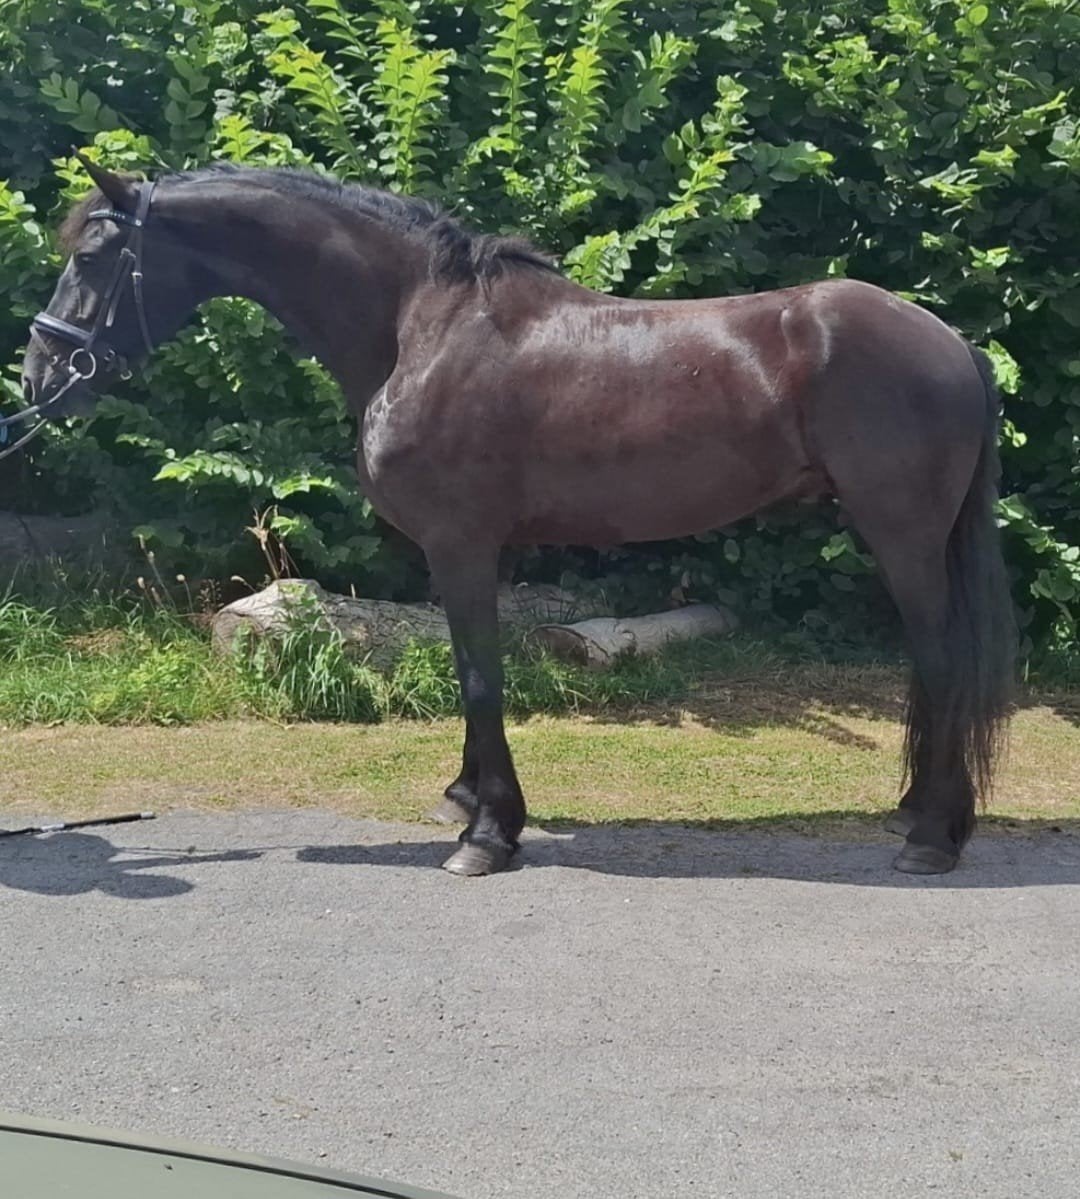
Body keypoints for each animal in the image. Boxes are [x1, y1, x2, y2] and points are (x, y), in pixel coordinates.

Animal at [17, 157, 1015, 877]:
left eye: (94, 257)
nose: (39, 377)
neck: (421, 327)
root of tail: (951, 341)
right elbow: (471, 669)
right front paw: (470, 800)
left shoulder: (464, 543)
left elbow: (479, 676)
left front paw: (489, 834)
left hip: (902, 535)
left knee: (939, 661)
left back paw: (931, 836)